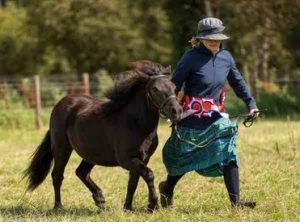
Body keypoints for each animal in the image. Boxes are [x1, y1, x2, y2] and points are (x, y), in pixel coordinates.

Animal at [24, 59, 180, 211]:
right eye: (155, 89)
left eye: (174, 87)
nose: (176, 111)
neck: (136, 123)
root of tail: (59, 104)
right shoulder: (127, 159)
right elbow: (149, 175)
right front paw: (152, 205)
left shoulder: (143, 158)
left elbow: (133, 183)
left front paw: (128, 208)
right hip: (62, 149)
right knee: (57, 175)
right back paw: (58, 207)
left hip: (91, 153)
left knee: (81, 172)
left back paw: (99, 199)